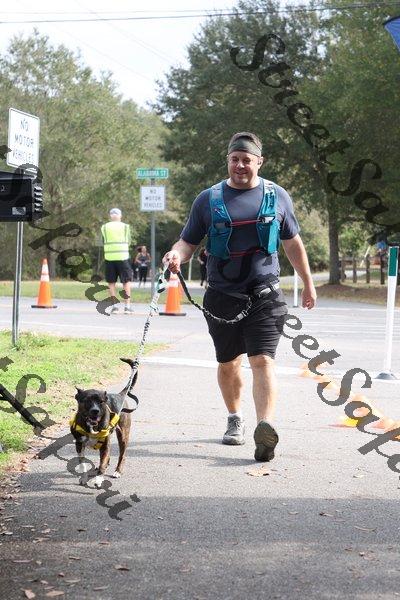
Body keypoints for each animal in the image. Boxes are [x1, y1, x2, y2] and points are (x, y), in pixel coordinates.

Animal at [70, 358, 138, 488]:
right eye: (86, 400)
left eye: (101, 402)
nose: (95, 411)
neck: (92, 426)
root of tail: (120, 395)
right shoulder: (79, 445)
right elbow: (82, 463)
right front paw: (84, 477)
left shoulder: (105, 446)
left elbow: (102, 464)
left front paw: (98, 479)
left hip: (123, 436)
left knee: (122, 455)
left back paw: (118, 471)